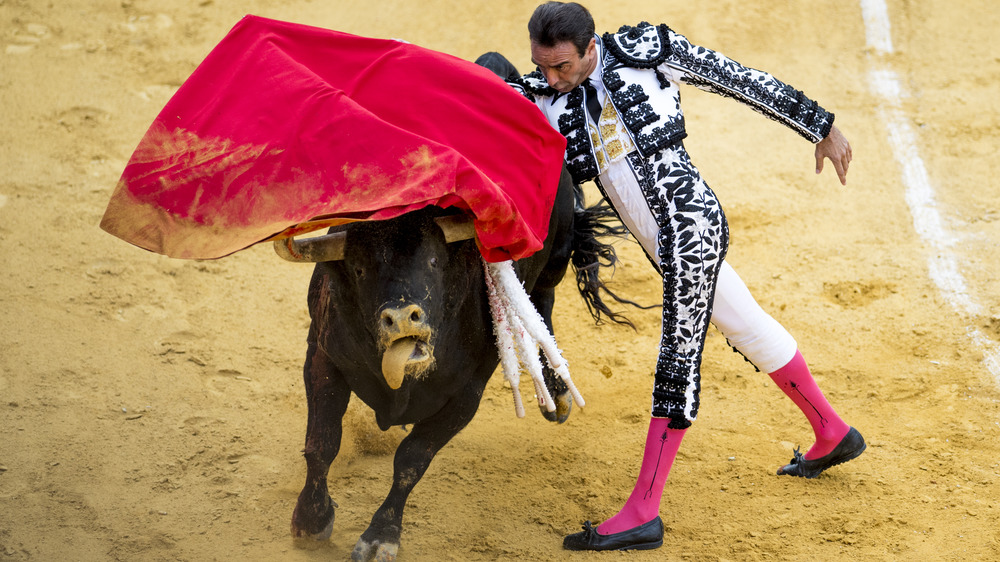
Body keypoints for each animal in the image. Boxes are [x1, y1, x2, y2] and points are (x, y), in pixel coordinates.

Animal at [282, 53, 632, 560]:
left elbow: (413, 458)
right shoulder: (323, 357)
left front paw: (380, 535)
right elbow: (322, 442)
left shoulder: (467, 392)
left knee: (542, 302)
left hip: (558, 253)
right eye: (360, 268)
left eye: (433, 260)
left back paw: (556, 392)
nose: (402, 318)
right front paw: (311, 520)